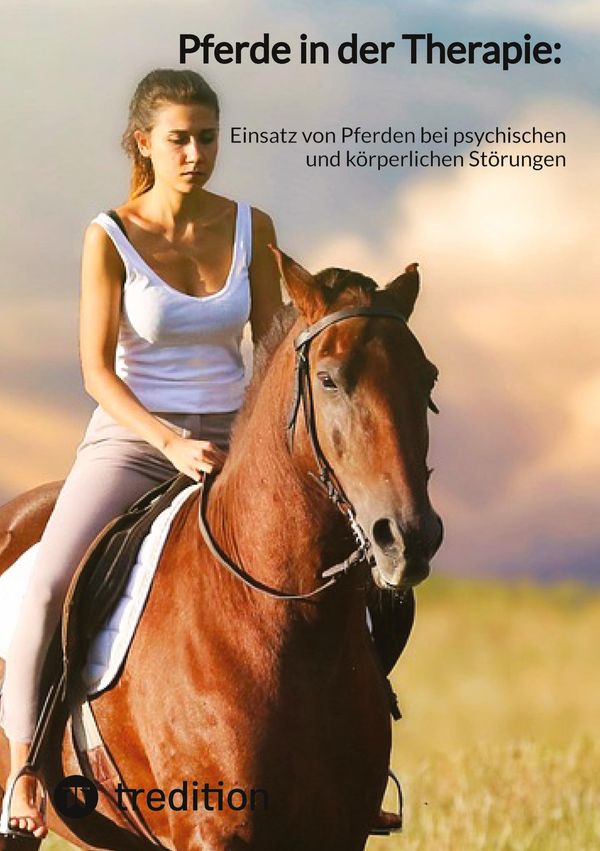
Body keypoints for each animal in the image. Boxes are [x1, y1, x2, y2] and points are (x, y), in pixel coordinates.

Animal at [0, 248, 442, 851]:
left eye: (428, 380)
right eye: (328, 380)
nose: (407, 537)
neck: (285, 618)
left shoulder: (339, 831)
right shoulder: (211, 831)